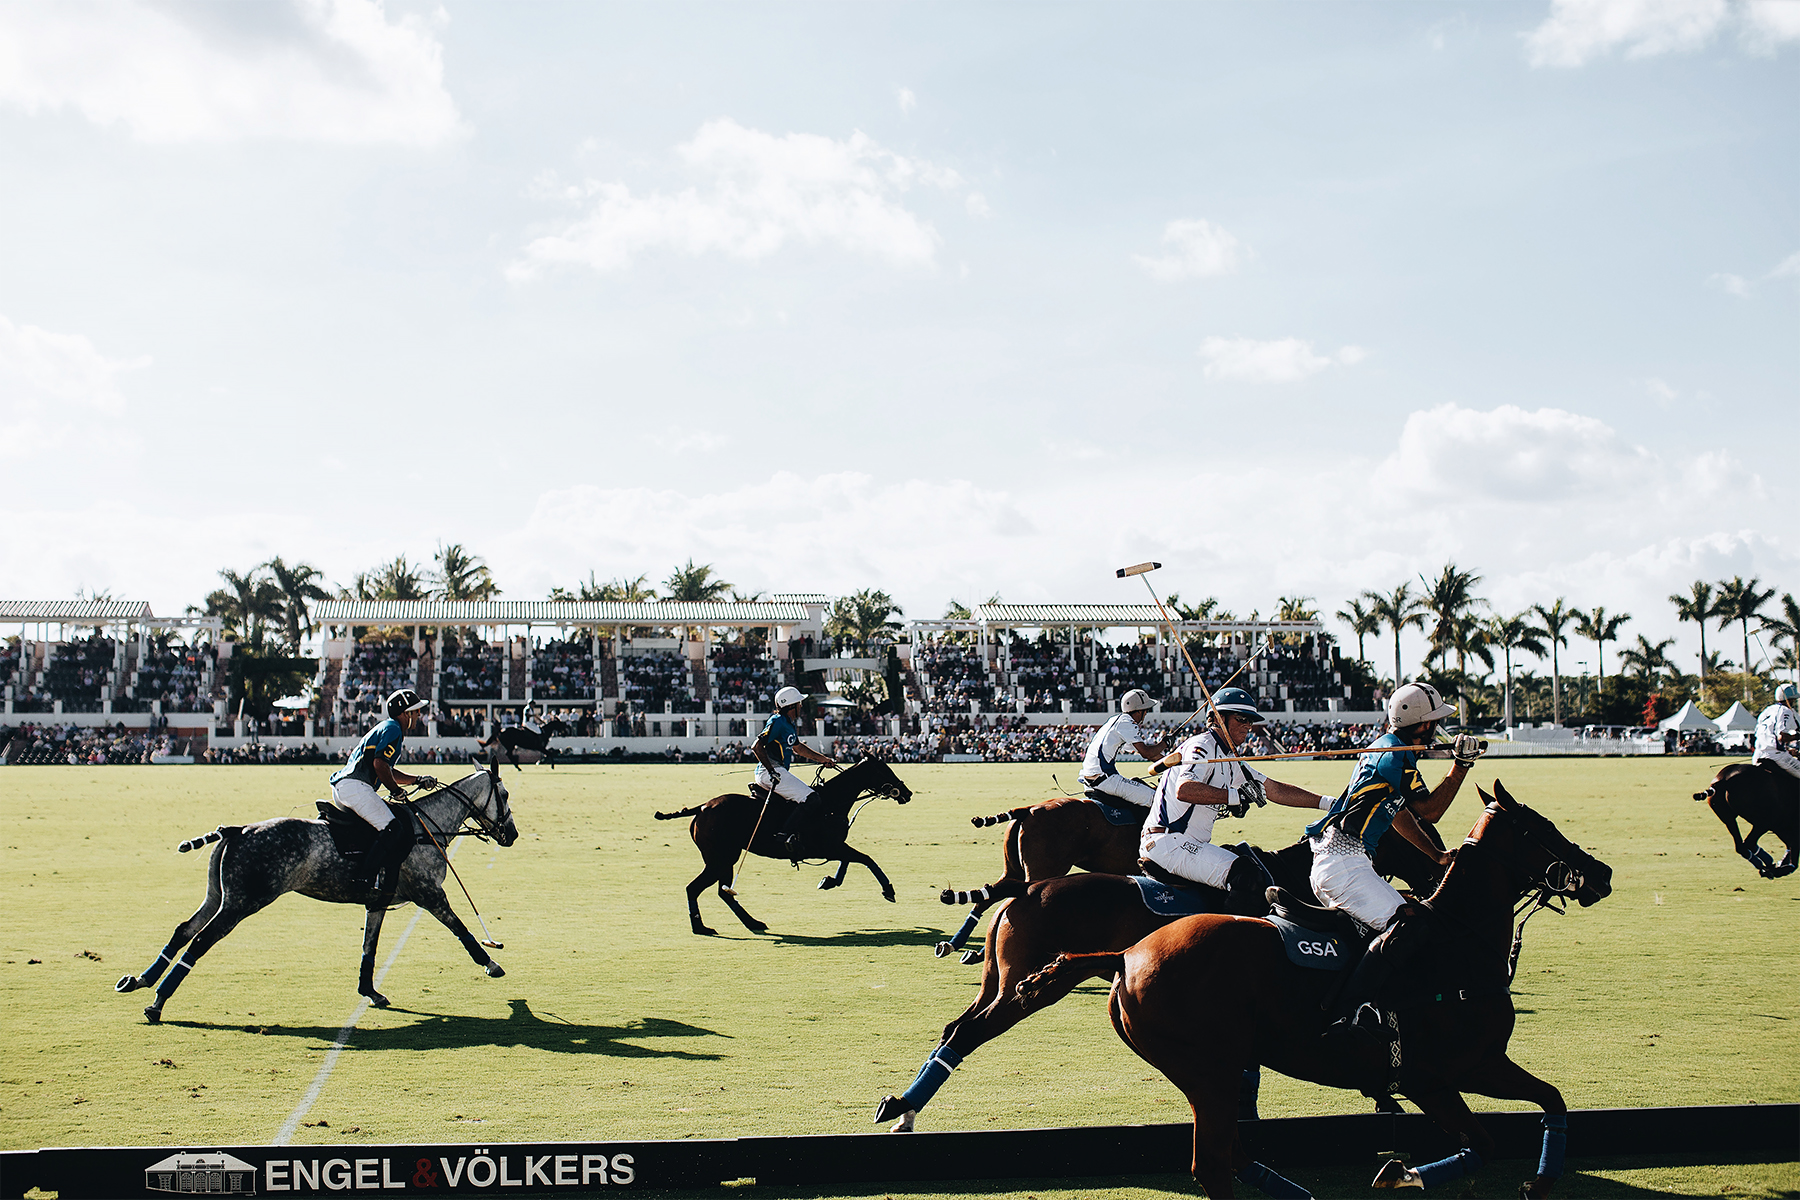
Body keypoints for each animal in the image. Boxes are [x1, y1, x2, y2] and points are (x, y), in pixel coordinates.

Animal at [116, 770, 518, 1021]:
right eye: (505, 794)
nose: (511, 834)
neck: (426, 829)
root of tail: (238, 829)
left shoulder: (378, 900)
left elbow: (369, 948)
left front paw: (370, 992)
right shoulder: (429, 893)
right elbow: (462, 930)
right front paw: (492, 963)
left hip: (219, 896)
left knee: (184, 928)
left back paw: (140, 981)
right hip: (243, 901)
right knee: (200, 939)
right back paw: (157, 1003)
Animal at [651, 759, 914, 935]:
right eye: (884, 769)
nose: (907, 793)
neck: (831, 803)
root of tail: (702, 807)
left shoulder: (833, 846)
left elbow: (849, 860)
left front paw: (828, 881)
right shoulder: (827, 847)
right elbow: (866, 858)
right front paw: (888, 890)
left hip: (724, 858)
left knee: (721, 891)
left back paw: (752, 923)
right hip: (720, 858)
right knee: (694, 888)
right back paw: (701, 927)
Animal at [871, 827, 1447, 1137]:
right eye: (1414, 835)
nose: (1437, 877)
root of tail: (1025, 889)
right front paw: (1385, 1093)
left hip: (1000, 981)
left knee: (954, 1028)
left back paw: (903, 1107)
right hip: (1028, 990)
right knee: (970, 1033)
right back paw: (904, 1111)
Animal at [1029, 780, 1620, 1200]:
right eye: (1540, 827)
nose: (1602, 874)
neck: (1460, 943)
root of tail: (1128, 955)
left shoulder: (1481, 1063)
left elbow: (1551, 1100)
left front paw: (1540, 1181)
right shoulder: (1434, 1078)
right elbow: (1482, 1143)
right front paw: (1402, 1174)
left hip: (1207, 1073)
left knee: (1231, 1155)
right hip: (1207, 1069)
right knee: (1214, 1164)